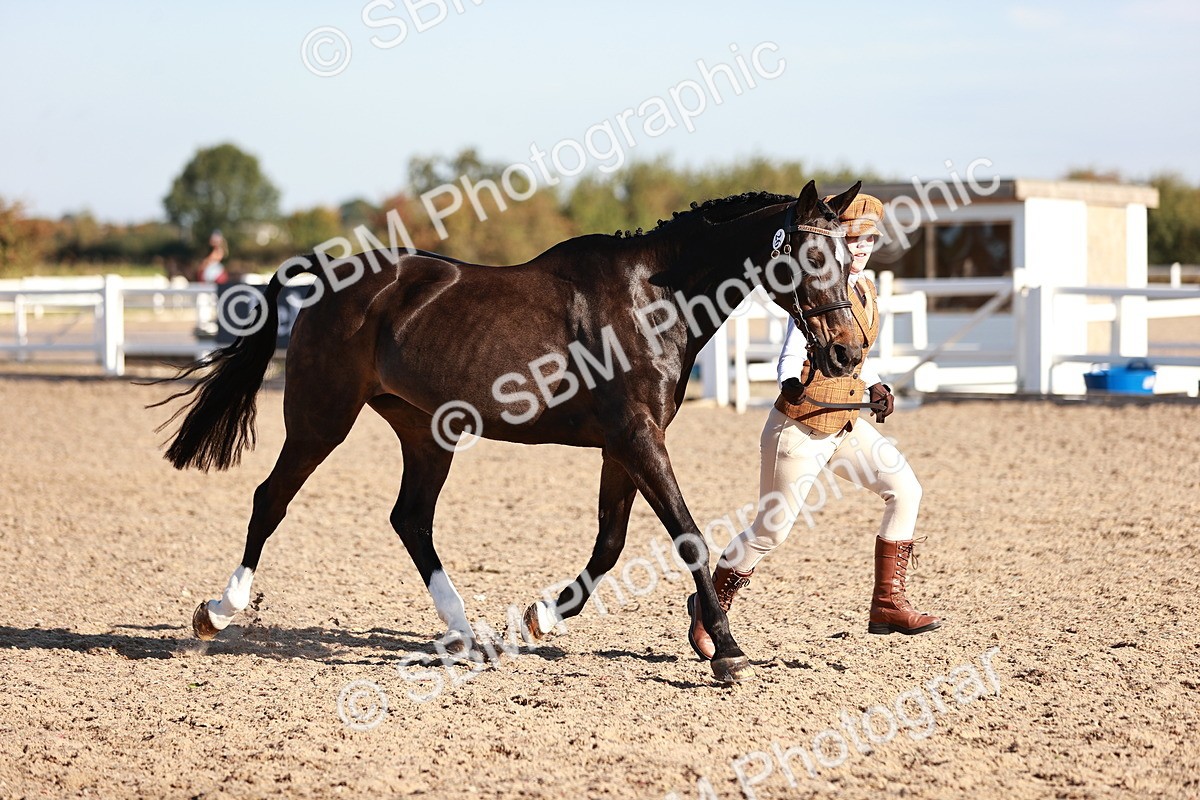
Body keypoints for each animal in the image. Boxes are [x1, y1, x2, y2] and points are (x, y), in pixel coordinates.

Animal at [153, 180, 864, 684]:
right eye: (809, 254)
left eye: (852, 259)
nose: (847, 354)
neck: (653, 299)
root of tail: (332, 278)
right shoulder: (638, 439)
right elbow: (686, 535)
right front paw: (728, 652)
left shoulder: (623, 446)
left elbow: (610, 544)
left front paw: (541, 617)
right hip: (321, 418)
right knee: (271, 499)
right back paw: (217, 612)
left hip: (425, 431)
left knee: (410, 518)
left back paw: (468, 636)